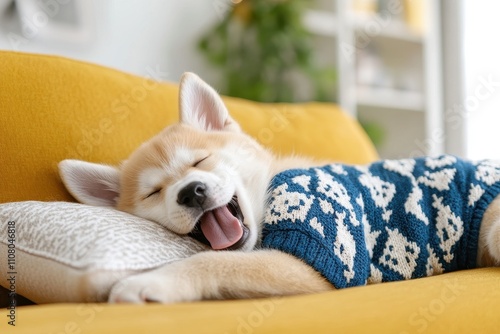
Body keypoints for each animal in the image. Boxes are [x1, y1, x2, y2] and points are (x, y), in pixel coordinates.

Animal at [58, 73, 500, 302]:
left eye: (200, 162)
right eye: (154, 192)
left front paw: (152, 281)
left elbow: (214, 262)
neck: (269, 190)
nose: (190, 191)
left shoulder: (318, 254)